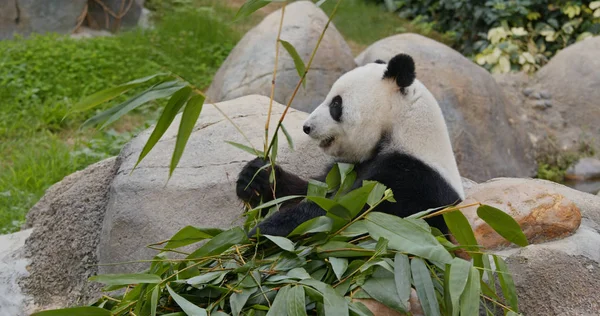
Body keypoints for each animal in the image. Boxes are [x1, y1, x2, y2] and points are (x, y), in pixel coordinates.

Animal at [234, 53, 464, 237]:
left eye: (336, 104)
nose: (307, 127)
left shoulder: (412, 181)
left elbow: (344, 214)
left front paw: (261, 232)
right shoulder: (347, 168)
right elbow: (310, 189)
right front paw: (256, 176)